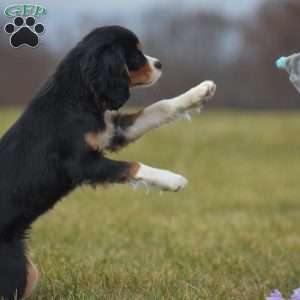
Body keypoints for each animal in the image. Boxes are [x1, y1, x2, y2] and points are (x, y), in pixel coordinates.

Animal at [0, 26, 216, 300]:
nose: (159, 64)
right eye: (135, 54)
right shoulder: (82, 163)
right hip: (15, 268)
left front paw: (201, 92)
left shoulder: (113, 131)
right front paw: (173, 180)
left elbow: (160, 107)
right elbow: (133, 166)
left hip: (28, 269)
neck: (77, 96)